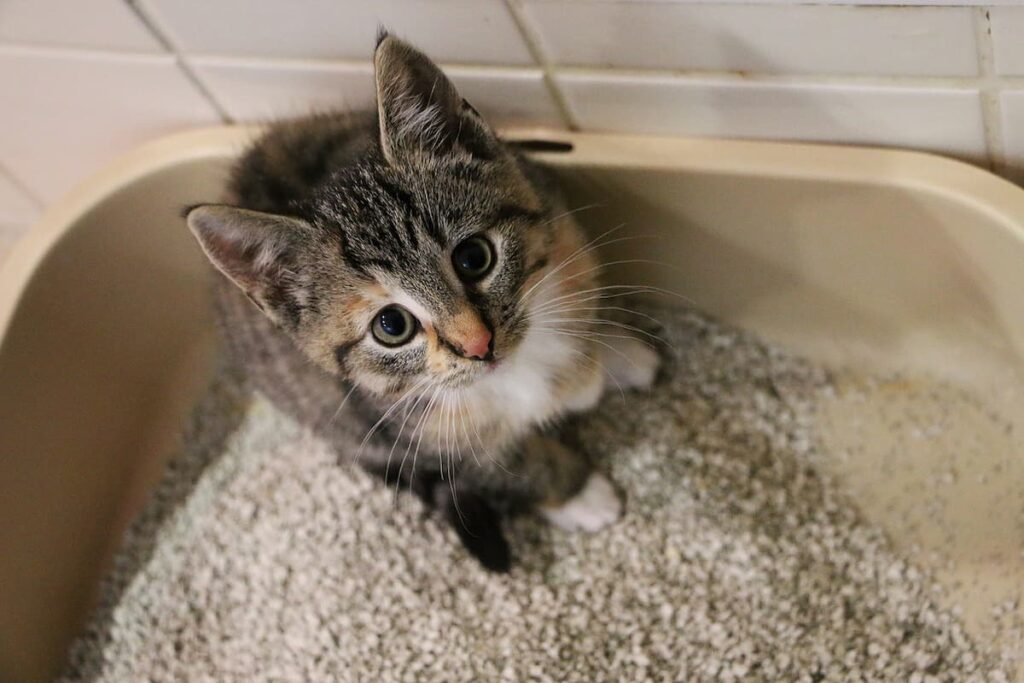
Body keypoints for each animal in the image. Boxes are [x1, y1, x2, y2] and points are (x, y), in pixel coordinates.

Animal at [187, 33, 659, 573]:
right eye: (391, 326)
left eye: (474, 257)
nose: (478, 344)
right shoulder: (418, 433)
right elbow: (504, 465)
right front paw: (579, 493)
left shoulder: (561, 229)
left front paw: (609, 356)